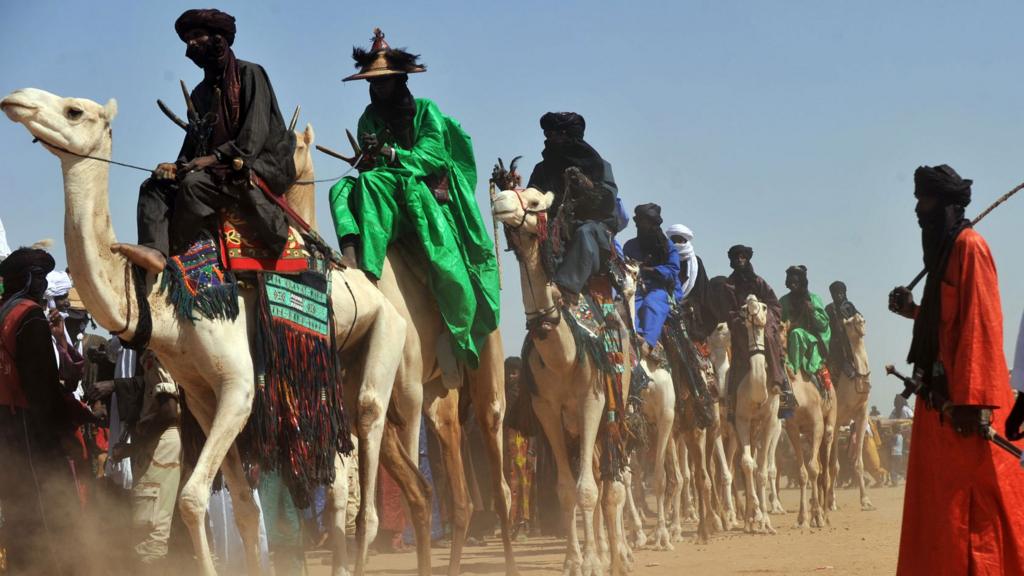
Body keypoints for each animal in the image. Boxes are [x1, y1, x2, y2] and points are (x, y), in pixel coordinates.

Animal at [1, 86, 407, 573]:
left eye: (74, 110)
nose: (16, 98)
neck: (165, 300)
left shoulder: (238, 385)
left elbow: (192, 499)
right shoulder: (200, 396)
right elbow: (245, 510)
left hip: (386, 333)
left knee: (367, 448)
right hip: (333, 370)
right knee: (337, 473)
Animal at [489, 183, 626, 573]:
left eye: (534, 200)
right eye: (506, 189)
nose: (498, 202)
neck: (562, 354)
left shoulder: (592, 401)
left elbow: (588, 491)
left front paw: (594, 562)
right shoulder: (546, 410)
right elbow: (567, 490)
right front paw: (574, 561)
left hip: (614, 413)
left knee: (613, 485)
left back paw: (621, 556)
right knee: (598, 477)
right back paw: (606, 552)